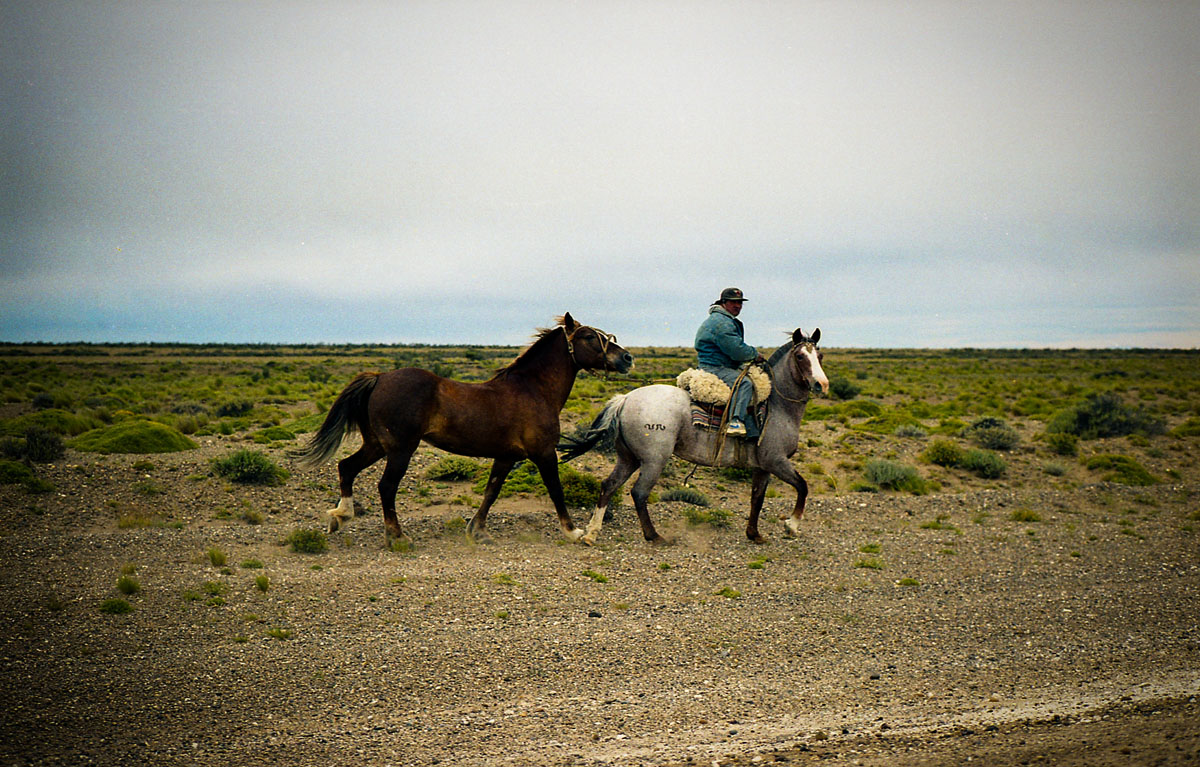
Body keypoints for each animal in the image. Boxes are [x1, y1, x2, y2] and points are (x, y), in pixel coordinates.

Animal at [292, 316, 628, 547]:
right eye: (589, 336)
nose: (626, 358)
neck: (533, 390)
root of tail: (380, 377)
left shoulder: (506, 457)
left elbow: (491, 492)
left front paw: (477, 531)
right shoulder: (543, 454)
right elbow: (556, 491)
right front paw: (574, 532)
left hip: (376, 444)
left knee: (346, 467)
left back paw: (340, 517)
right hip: (400, 449)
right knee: (386, 487)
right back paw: (397, 537)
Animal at [559, 328, 825, 547]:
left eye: (820, 357)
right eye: (800, 356)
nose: (821, 384)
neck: (776, 406)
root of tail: (625, 399)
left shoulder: (763, 466)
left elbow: (757, 498)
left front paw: (754, 534)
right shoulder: (776, 461)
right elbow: (802, 486)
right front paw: (791, 526)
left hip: (628, 458)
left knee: (609, 485)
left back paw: (591, 533)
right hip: (654, 460)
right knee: (639, 493)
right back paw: (654, 536)